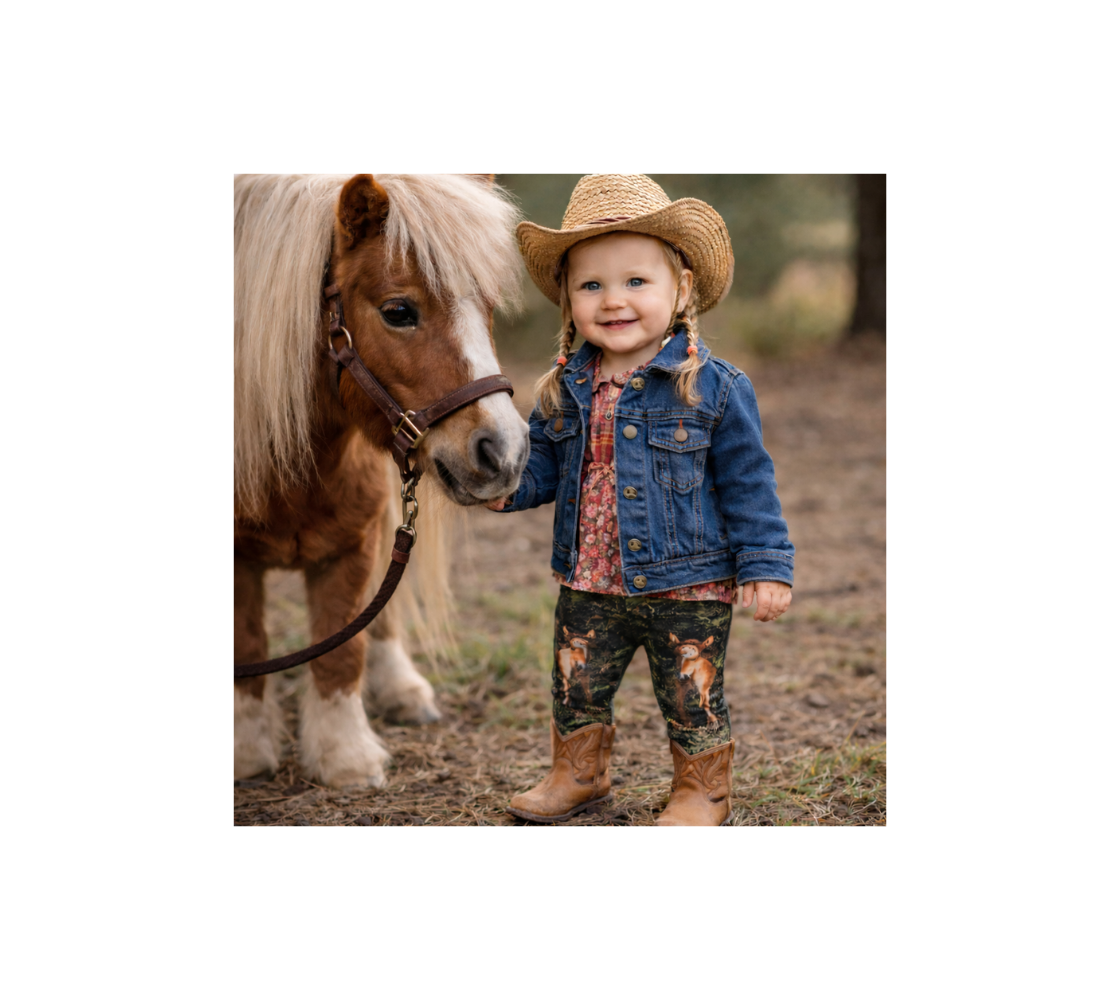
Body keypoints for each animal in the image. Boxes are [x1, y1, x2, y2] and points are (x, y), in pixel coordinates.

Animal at [233, 173, 528, 788]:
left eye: (486, 306)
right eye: (398, 311)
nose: (506, 453)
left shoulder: (351, 544)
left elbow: (341, 649)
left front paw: (344, 757)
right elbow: (247, 641)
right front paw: (247, 752)